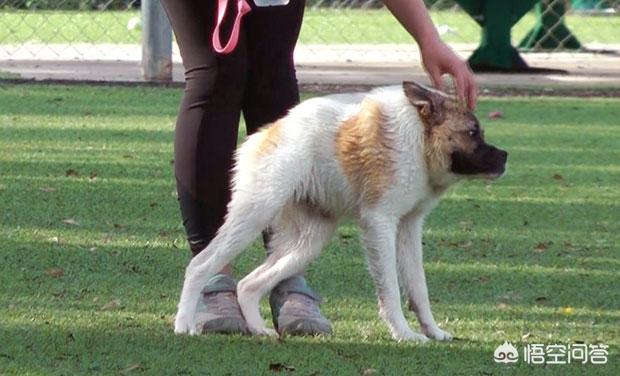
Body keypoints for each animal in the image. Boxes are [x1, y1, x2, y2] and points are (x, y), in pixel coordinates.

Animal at [172, 81, 506, 340]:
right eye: (473, 132)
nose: (505, 156)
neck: (418, 142)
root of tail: (263, 135)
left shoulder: (409, 229)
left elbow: (419, 288)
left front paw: (433, 331)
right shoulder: (379, 225)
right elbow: (391, 290)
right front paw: (403, 333)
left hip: (307, 243)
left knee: (248, 285)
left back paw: (257, 329)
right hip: (254, 216)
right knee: (200, 266)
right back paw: (184, 323)